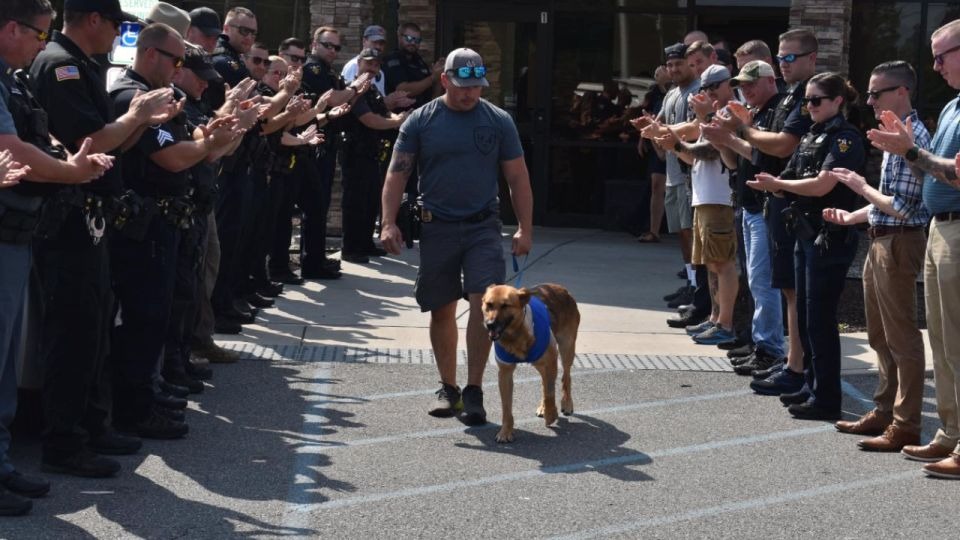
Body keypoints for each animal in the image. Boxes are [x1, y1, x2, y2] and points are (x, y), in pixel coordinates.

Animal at [480, 282, 576, 442]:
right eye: (489, 304)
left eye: (505, 305)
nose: (490, 324)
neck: (515, 335)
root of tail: (561, 288)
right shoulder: (505, 373)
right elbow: (506, 408)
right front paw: (505, 432)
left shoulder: (551, 360)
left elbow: (550, 394)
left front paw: (551, 415)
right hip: (540, 363)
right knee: (545, 382)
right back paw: (543, 407)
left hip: (566, 349)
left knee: (566, 377)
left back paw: (567, 403)